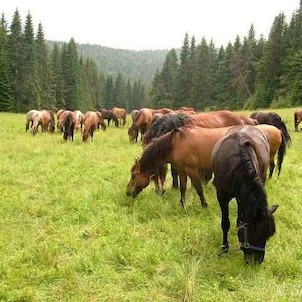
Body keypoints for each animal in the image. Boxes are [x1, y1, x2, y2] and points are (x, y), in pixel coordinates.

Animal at [210, 124, 278, 264]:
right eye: (256, 234)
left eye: (268, 236)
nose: (257, 261)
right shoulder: (222, 196)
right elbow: (225, 223)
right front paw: (225, 248)